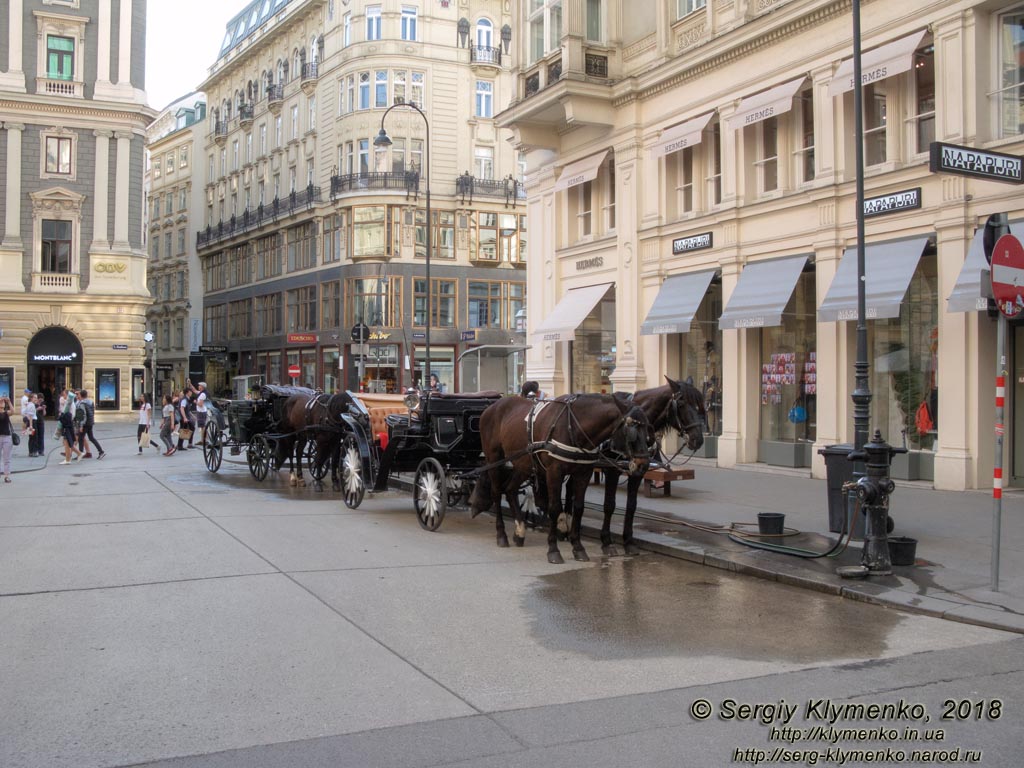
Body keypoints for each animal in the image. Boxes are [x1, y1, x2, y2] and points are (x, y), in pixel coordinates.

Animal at [468, 397, 647, 565]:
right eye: (632, 430)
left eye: (648, 427)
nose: (643, 464)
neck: (573, 428)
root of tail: (492, 407)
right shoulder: (554, 472)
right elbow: (554, 508)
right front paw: (553, 550)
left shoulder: (583, 473)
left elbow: (578, 508)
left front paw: (578, 547)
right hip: (494, 459)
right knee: (497, 493)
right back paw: (501, 535)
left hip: (523, 463)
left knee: (510, 489)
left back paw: (520, 531)